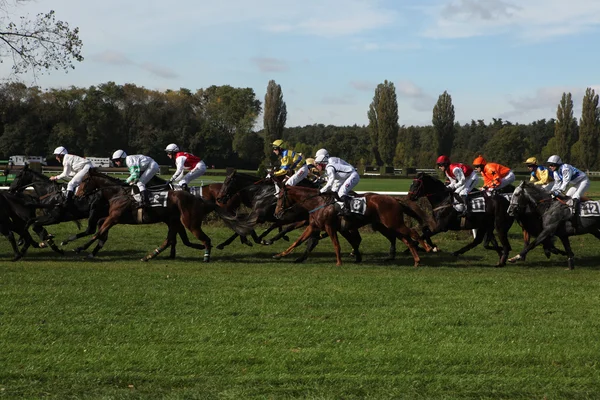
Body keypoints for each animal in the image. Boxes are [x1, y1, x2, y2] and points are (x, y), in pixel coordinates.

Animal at [74, 172, 254, 262]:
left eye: (83, 181)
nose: (77, 195)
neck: (118, 193)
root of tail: (201, 200)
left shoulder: (114, 218)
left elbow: (98, 231)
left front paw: (81, 248)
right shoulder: (114, 218)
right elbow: (100, 228)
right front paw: (92, 249)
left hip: (189, 222)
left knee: (205, 239)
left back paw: (207, 255)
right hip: (176, 221)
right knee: (169, 240)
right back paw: (149, 256)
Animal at [272, 184, 432, 266]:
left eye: (280, 198)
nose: (276, 214)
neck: (317, 203)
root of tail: (395, 200)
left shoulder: (330, 227)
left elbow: (337, 245)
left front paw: (339, 262)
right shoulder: (313, 226)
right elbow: (297, 242)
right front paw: (279, 255)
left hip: (393, 223)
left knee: (413, 233)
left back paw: (428, 248)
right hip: (389, 225)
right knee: (406, 239)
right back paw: (417, 260)